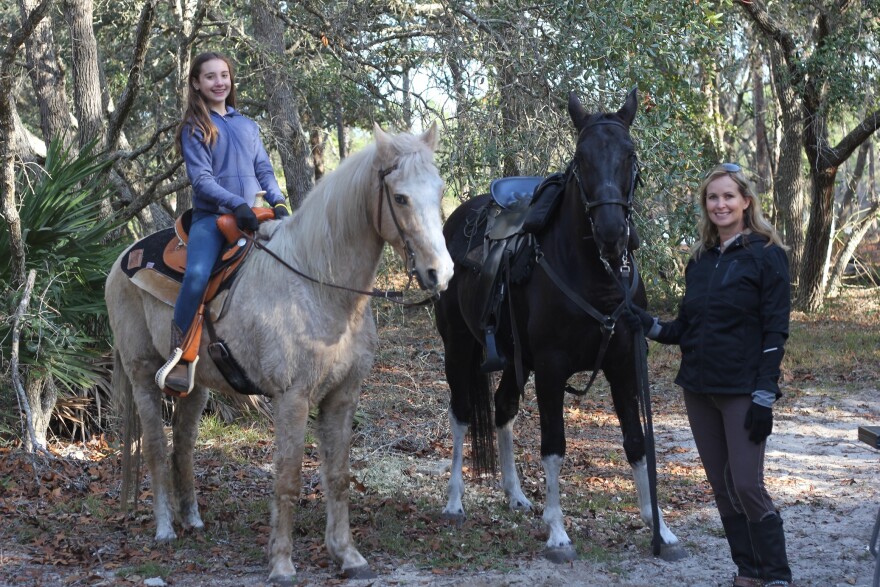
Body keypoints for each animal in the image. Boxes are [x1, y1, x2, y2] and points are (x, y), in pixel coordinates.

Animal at [105, 124, 454, 584]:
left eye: (440, 189)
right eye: (400, 197)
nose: (441, 273)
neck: (318, 286)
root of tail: (121, 261)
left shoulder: (342, 396)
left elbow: (338, 476)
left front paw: (347, 555)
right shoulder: (293, 398)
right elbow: (288, 479)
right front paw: (282, 563)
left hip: (195, 386)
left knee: (183, 445)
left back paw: (192, 519)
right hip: (143, 374)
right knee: (156, 447)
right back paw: (165, 528)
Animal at [434, 87, 680, 560]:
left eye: (630, 154)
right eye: (581, 159)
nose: (611, 232)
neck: (597, 278)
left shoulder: (624, 363)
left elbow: (637, 443)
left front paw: (658, 526)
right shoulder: (550, 368)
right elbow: (554, 447)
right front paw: (559, 533)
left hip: (516, 360)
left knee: (503, 408)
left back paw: (514, 495)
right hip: (458, 347)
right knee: (461, 414)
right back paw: (453, 502)